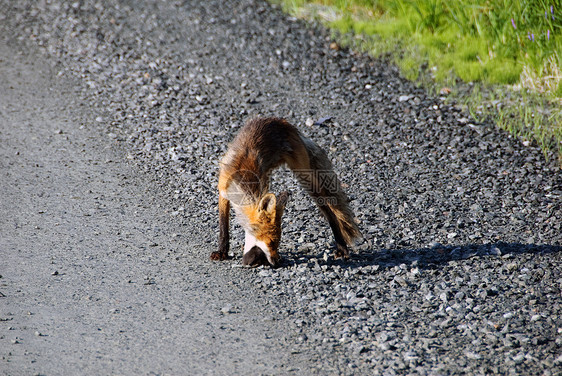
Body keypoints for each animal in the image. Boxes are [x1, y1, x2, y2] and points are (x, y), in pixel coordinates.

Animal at [210, 116, 358, 266]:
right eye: (271, 242)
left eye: (277, 243)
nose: (277, 262)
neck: (242, 176)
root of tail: (282, 122)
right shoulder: (223, 192)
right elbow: (223, 227)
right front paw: (222, 251)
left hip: (305, 177)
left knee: (330, 212)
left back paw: (341, 247)